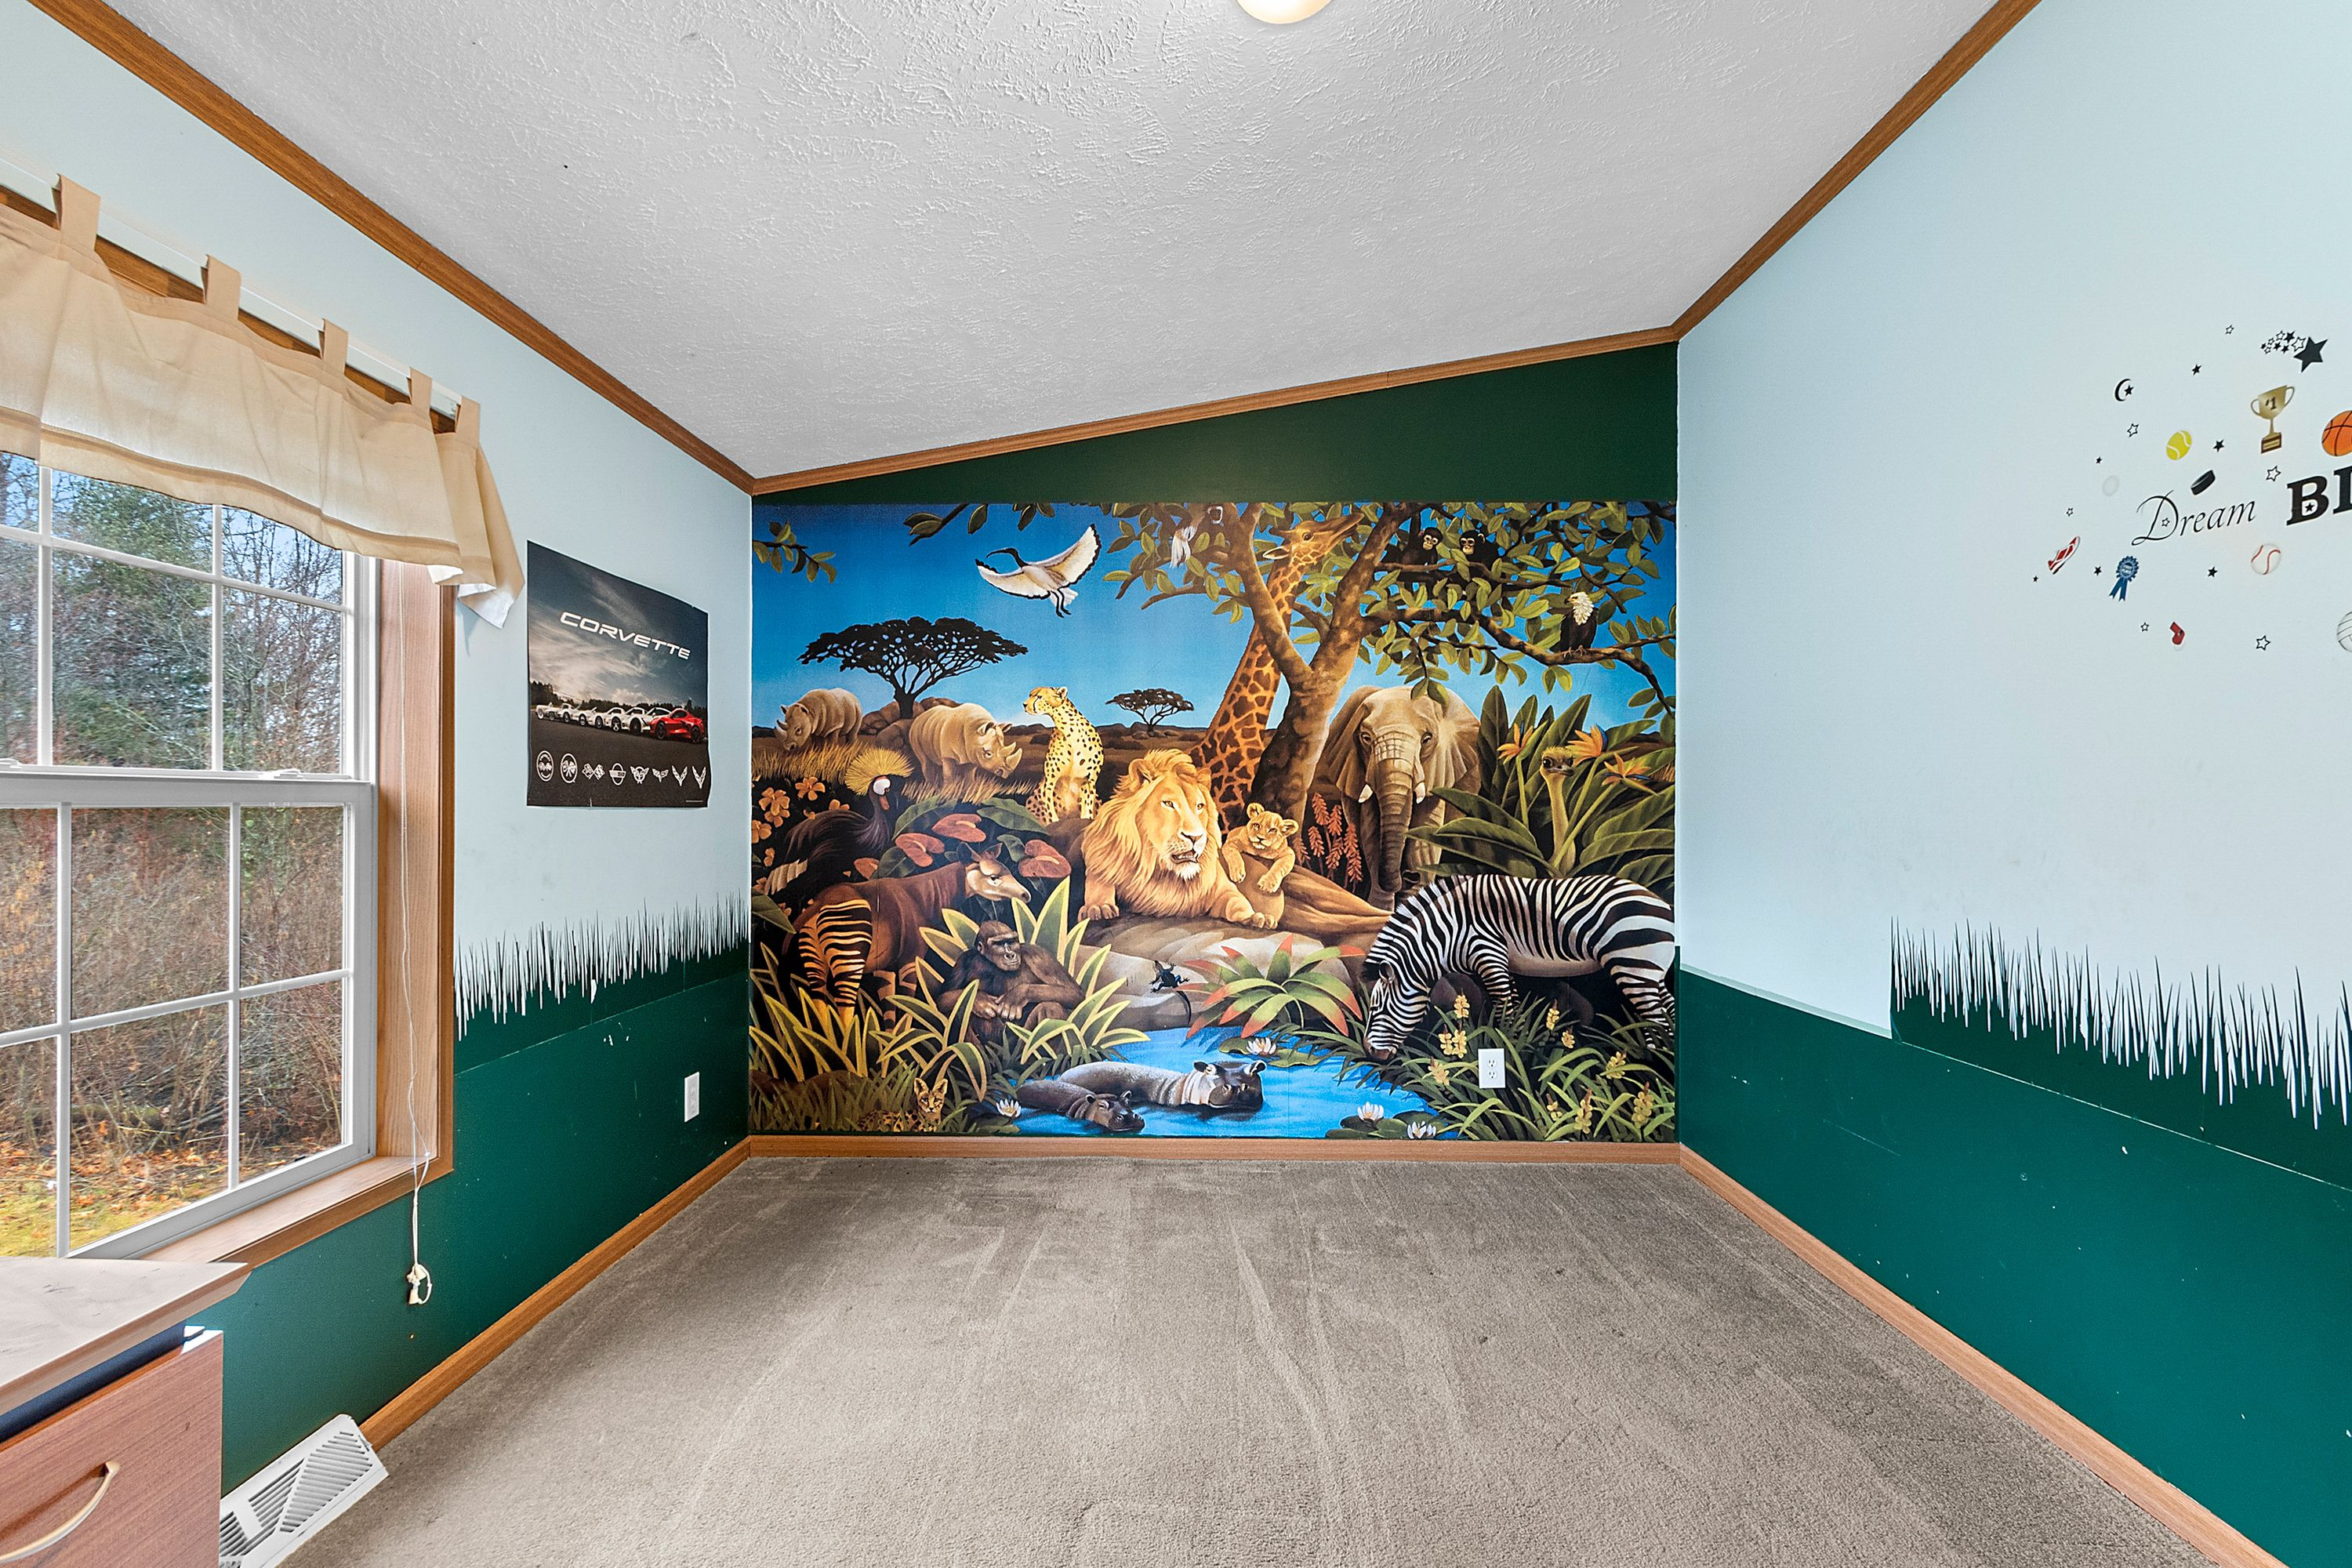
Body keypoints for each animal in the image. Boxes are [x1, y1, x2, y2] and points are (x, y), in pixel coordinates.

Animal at [1359, 874, 1675, 1058]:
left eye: (1377, 1009)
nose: (1370, 1051)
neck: (1447, 932)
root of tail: (1663, 905)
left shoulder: (1488, 954)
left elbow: (1505, 1012)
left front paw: (1511, 1056)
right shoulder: (1502, 963)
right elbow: (1513, 1011)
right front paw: (1519, 1051)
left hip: (1633, 968)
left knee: (1657, 1022)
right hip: (1651, 972)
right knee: (1668, 1016)